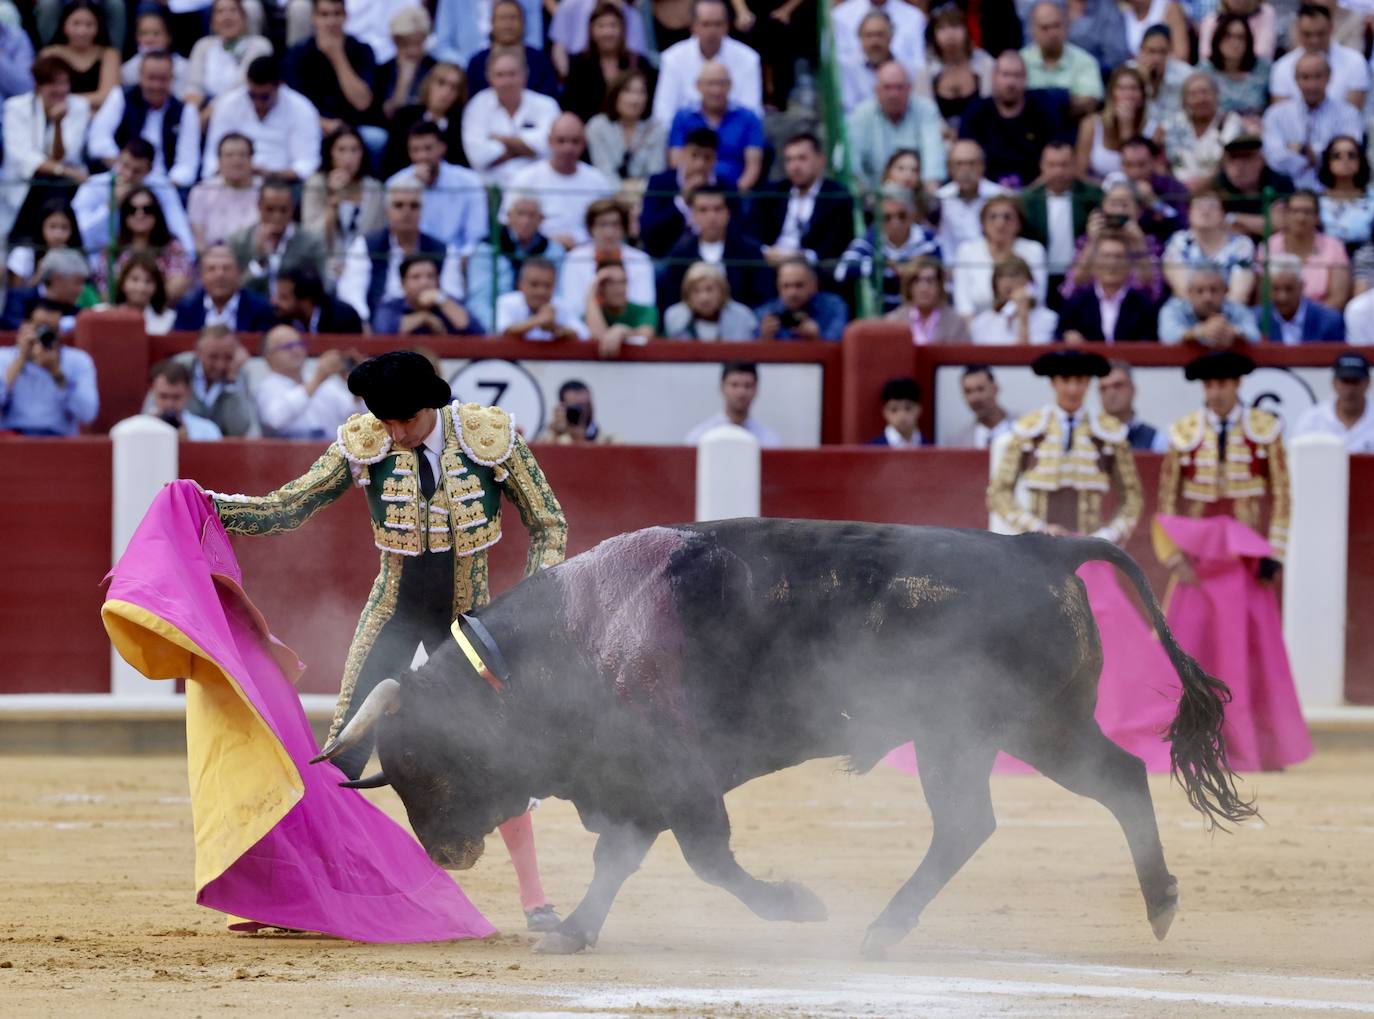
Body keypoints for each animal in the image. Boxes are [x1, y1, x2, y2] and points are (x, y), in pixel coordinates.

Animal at [318, 519, 1258, 955]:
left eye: (424, 761)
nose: (447, 854)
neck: (579, 638)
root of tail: (1042, 548)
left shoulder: (677, 782)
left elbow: (708, 860)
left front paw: (797, 905)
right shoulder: (633, 788)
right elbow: (619, 861)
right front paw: (575, 930)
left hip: (1036, 726)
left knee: (1115, 780)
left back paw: (1158, 902)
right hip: (969, 737)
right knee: (981, 821)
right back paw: (887, 930)